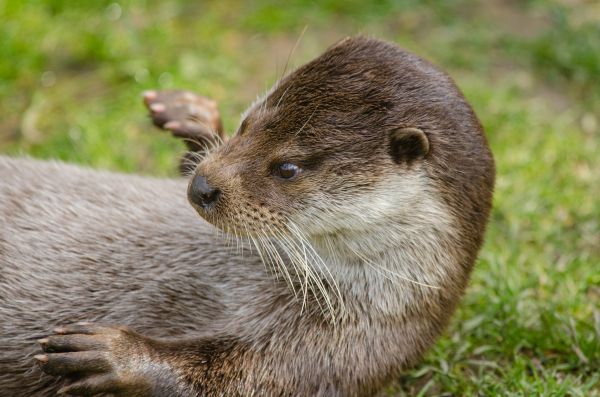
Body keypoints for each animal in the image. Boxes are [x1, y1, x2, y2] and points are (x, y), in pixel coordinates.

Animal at [1, 35, 492, 394]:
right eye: (246, 125)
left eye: (288, 168)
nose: (201, 187)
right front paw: (191, 116)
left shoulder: (338, 350)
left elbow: (228, 376)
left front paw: (112, 353)